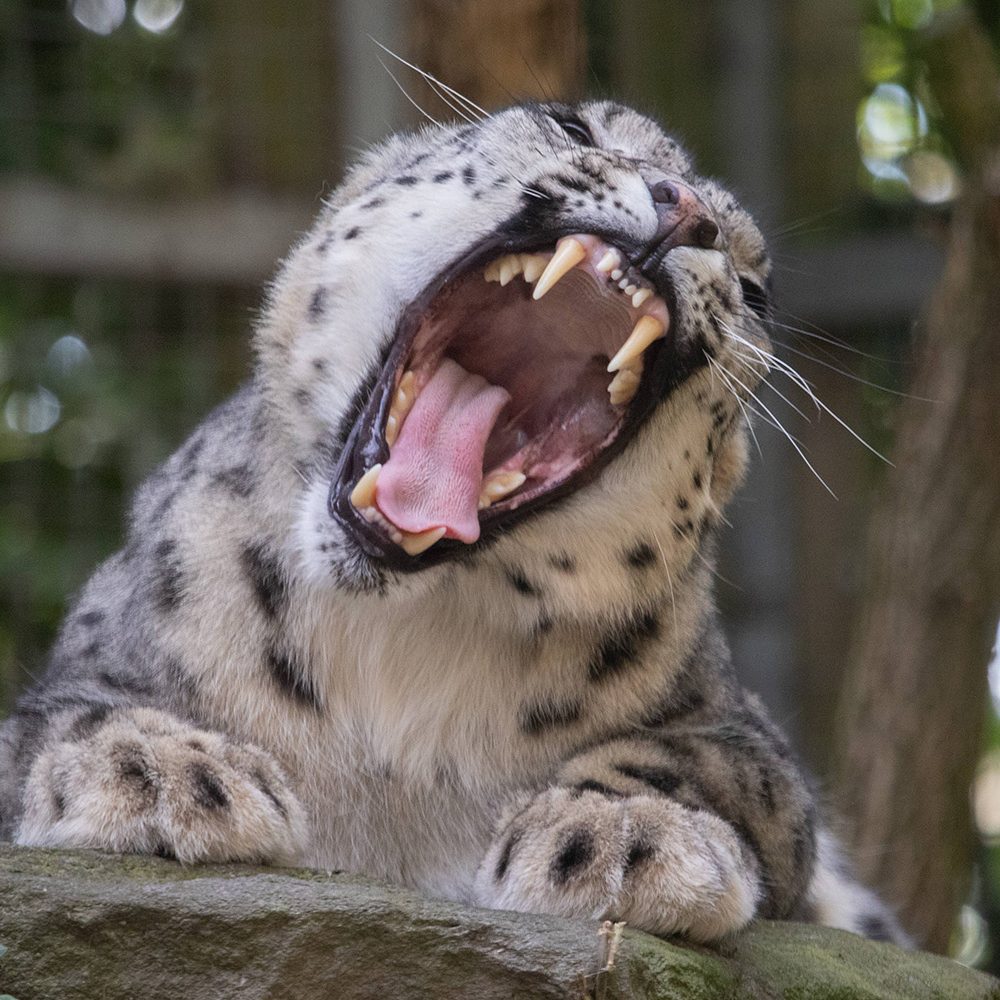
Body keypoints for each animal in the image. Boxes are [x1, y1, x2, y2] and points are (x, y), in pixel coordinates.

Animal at [0, 97, 908, 940]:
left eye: (758, 292)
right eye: (573, 125)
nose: (687, 208)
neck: (397, 644)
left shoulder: (743, 740)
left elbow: (704, 764)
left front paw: (619, 834)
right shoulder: (93, 662)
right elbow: (64, 715)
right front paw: (159, 772)